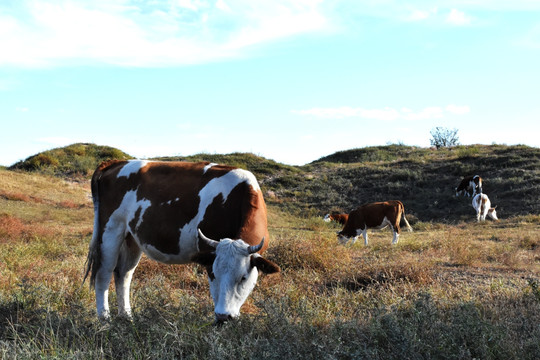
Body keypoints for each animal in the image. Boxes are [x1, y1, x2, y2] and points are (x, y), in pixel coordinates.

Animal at [84, 160, 280, 324]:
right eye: (215, 273)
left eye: (243, 277)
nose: (224, 316)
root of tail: (116, 162)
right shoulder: (208, 254)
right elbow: (215, 291)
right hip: (110, 230)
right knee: (103, 274)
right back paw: (105, 320)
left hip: (131, 238)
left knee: (123, 274)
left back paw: (127, 317)